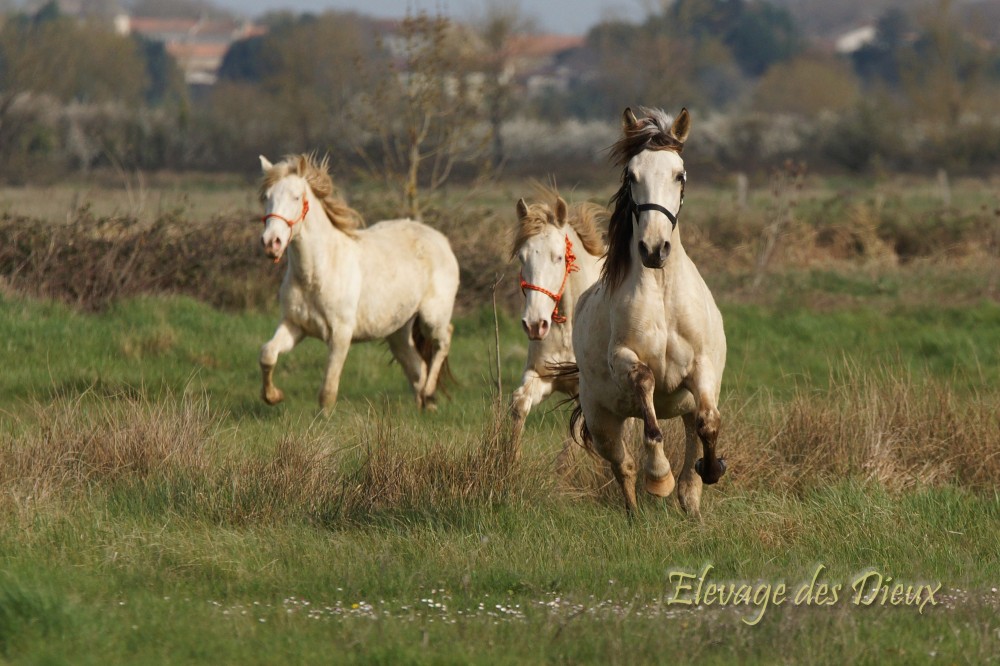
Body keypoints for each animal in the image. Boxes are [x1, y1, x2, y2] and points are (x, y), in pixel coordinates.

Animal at [258, 154, 460, 410]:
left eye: (296, 197)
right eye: (267, 197)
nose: (271, 242)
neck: (316, 273)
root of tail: (441, 240)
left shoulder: (341, 335)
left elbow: (328, 391)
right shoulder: (295, 326)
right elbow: (267, 354)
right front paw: (273, 396)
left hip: (432, 317)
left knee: (443, 341)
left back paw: (430, 393)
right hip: (398, 331)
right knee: (417, 367)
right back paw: (426, 404)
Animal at [572, 107, 728, 512]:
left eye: (679, 174)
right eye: (632, 176)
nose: (654, 249)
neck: (661, 291)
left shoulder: (701, 367)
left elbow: (709, 422)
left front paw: (713, 468)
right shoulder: (625, 358)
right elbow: (649, 408)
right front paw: (658, 478)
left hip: (682, 409)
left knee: (690, 473)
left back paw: (693, 503)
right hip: (603, 420)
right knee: (623, 465)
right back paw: (635, 512)